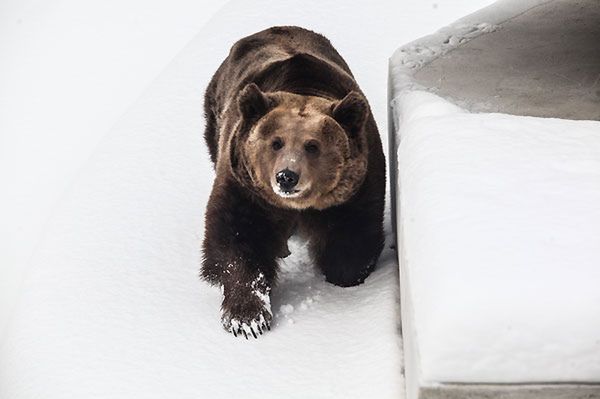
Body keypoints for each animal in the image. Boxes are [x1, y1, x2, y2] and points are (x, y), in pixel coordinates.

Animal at [202, 25, 384, 340]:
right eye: (276, 142)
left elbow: (352, 234)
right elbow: (237, 237)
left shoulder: (356, 188)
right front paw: (247, 317)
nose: (286, 177)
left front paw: (346, 274)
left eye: (312, 146)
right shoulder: (246, 188)